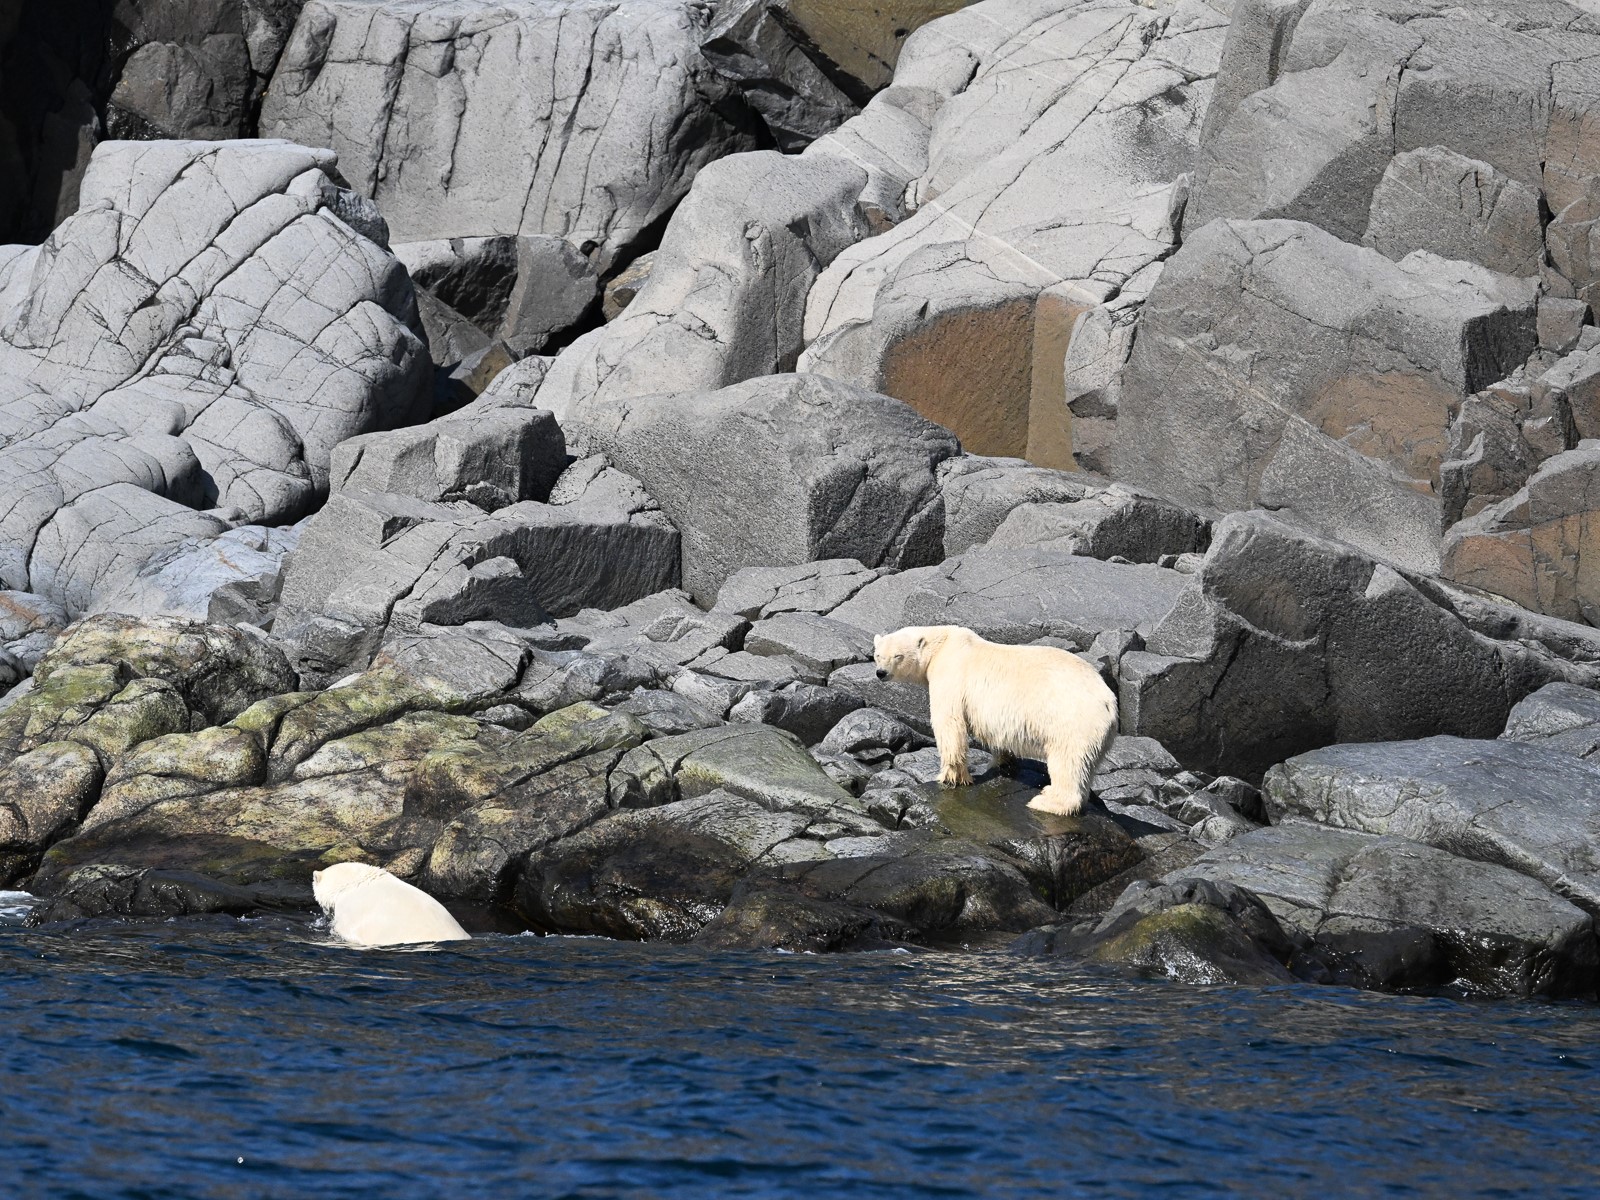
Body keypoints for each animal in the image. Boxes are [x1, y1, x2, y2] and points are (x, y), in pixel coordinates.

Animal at [873, 624, 1117, 815]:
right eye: (877, 655)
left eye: (898, 656)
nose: (880, 673)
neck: (942, 644)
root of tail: (1110, 703)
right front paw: (1002, 762)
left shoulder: (950, 675)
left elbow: (950, 724)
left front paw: (950, 777)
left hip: (1071, 720)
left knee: (1067, 762)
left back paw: (1046, 801)